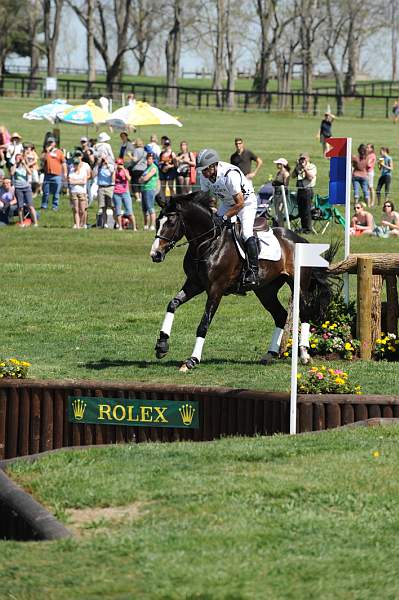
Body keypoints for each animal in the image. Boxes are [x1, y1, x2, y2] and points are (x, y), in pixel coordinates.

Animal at [150, 192, 332, 370]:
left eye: (171, 223)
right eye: (158, 222)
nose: (155, 254)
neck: (208, 242)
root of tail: (299, 239)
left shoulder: (216, 289)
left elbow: (204, 324)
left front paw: (192, 360)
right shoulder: (195, 284)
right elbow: (172, 304)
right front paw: (162, 345)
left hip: (298, 285)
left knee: (305, 313)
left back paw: (304, 354)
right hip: (265, 291)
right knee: (280, 315)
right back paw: (269, 355)